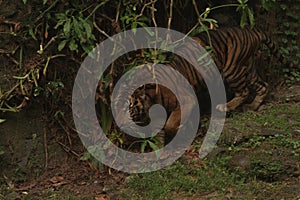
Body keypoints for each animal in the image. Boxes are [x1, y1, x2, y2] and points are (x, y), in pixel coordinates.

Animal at [120, 26, 284, 145]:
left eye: (129, 106)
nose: (120, 125)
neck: (151, 100)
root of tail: (250, 30)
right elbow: (159, 133)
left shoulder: (187, 100)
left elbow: (170, 123)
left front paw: (180, 129)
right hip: (247, 69)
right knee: (263, 85)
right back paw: (252, 106)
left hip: (232, 70)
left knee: (244, 91)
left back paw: (225, 107)